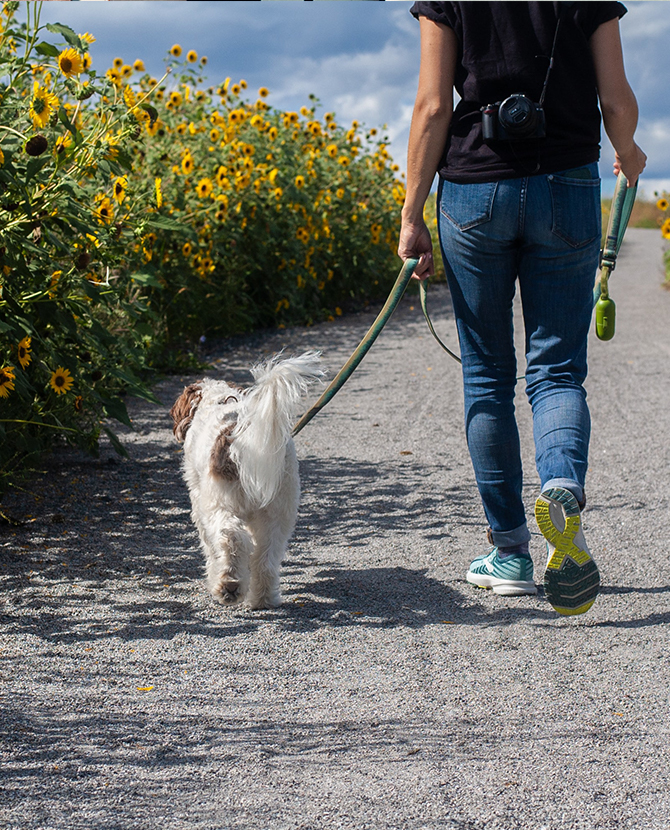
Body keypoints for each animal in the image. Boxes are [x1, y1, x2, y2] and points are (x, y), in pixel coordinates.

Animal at [169, 352, 324, 612]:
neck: (217, 399)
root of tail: (241, 437)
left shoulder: (199, 503)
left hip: (220, 505)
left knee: (232, 538)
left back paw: (229, 585)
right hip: (278, 512)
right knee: (266, 558)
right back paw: (263, 599)